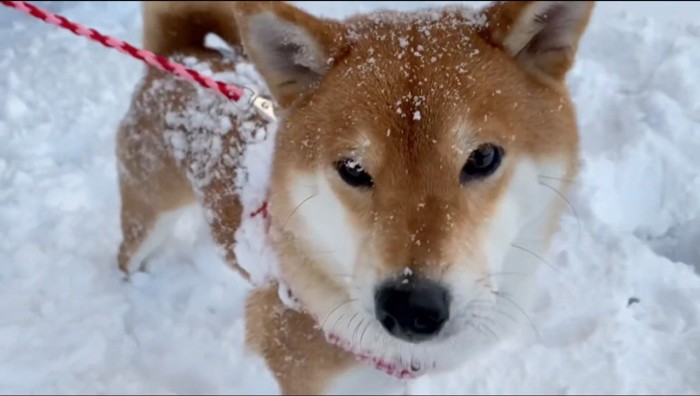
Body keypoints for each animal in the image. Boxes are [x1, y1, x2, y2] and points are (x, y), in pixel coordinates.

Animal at [113, 0, 592, 392]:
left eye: (483, 157)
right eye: (353, 170)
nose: (410, 306)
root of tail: (181, 56)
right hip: (147, 211)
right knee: (127, 254)